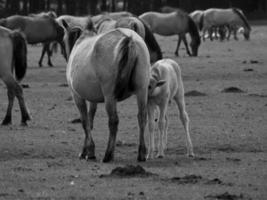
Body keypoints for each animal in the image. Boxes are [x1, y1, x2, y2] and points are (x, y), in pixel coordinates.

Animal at [61, 18, 152, 162]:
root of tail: (129, 39)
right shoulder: (92, 99)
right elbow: (90, 120)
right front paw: (88, 150)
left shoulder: (77, 96)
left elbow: (85, 122)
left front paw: (87, 151)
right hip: (142, 91)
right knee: (142, 117)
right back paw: (142, 153)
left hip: (110, 97)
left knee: (113, 121)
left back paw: (108, 154)